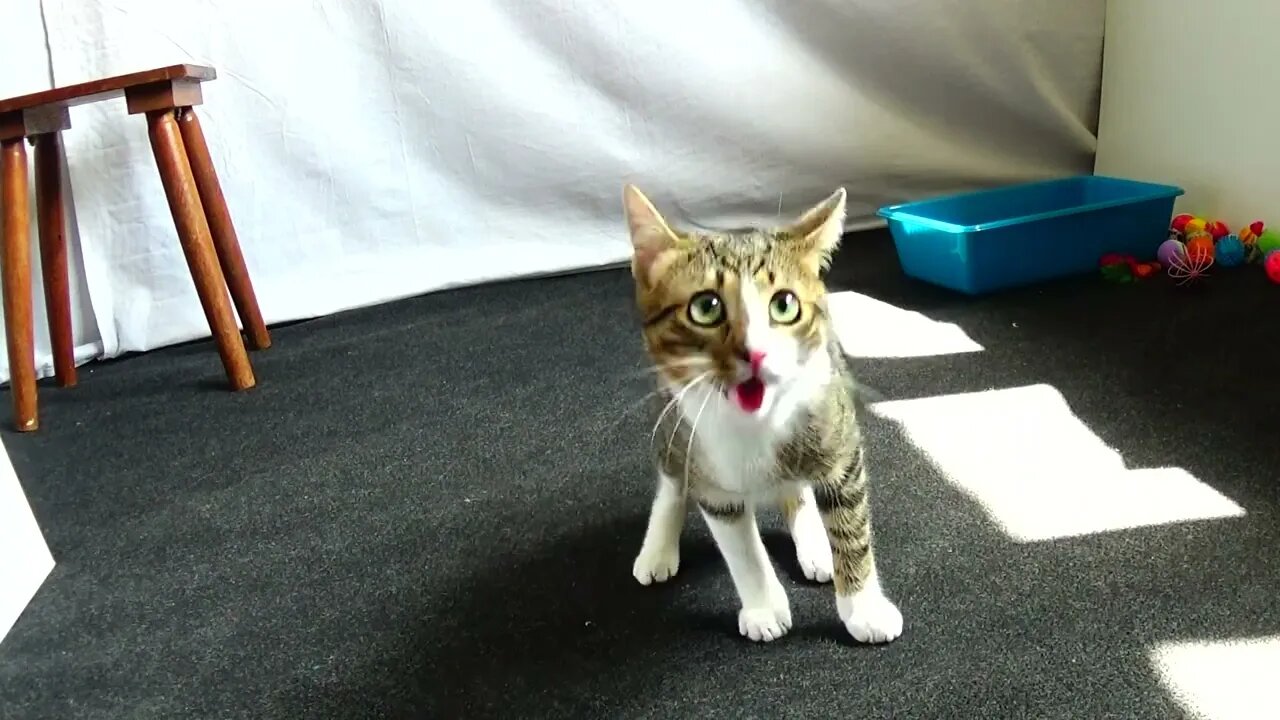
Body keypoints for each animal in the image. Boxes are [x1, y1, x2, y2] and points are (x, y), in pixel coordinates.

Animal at [619, 181, 901, 640]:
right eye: (706, 307)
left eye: (785, 304)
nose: (755, 352)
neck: (756, 424)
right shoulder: (711, 479)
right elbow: (742, 549)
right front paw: (765, 608)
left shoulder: (839, 441)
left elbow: (851, 526)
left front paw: (864, 608)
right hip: (672, 421)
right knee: (672, 479)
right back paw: (657, 548)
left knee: (797, 488)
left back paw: (814, 542)